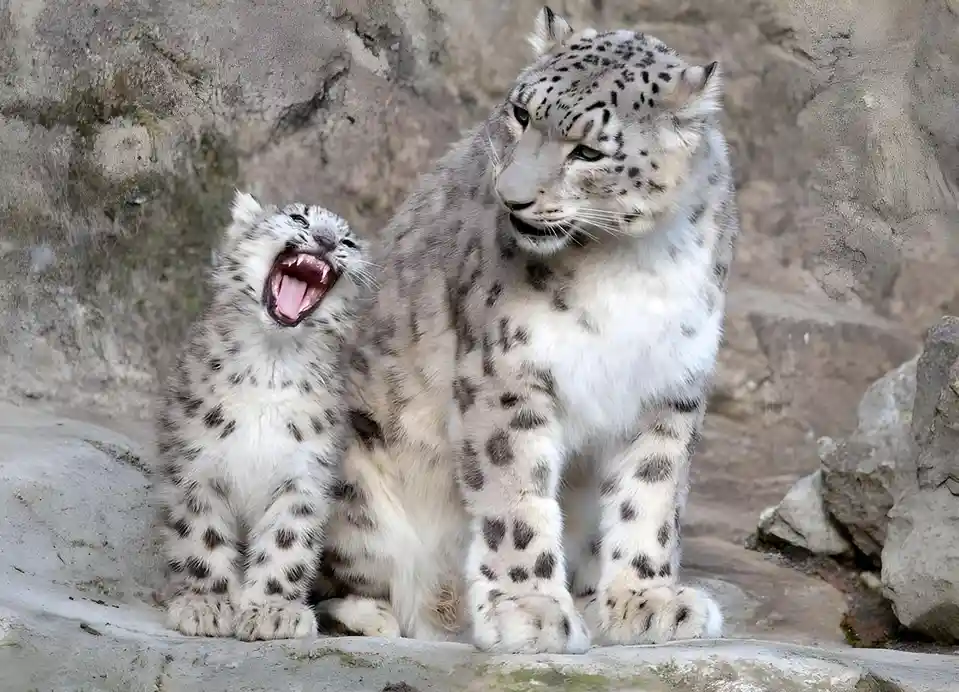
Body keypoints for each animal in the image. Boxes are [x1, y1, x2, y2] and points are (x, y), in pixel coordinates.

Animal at [150, 190, 371, 642]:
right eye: (299, 218)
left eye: (349, 242)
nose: (326, 240)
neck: (272, 360)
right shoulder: (195, 464)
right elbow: (201, 535)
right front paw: (206, 605)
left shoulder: (304, 475)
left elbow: (287, 543)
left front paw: (273, 612)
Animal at [310, 6, 739, 654]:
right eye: (520, 113)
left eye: (587, 151)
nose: (511, 198)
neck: (630, 261)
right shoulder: (507, 372)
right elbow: (516, 497)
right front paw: (530, 611)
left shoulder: (670, 384)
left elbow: (651, 493)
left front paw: (648, 601)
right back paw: (375, 617)